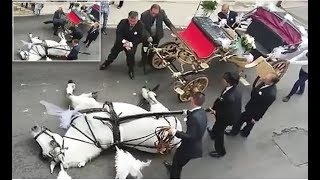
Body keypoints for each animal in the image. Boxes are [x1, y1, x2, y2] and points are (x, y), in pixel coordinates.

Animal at [31, 80, 184, 179]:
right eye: (43, 154)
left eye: (51, 142)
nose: (33, 128)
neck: (87, 135)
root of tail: (175, 139)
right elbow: (72, 97)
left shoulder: (83, 104)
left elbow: (72, 97)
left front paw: (74, 87)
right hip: (162, 113)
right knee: (152, 100)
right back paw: (146, 92)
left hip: (163, 113)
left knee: (153, 99)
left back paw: (146, 92)